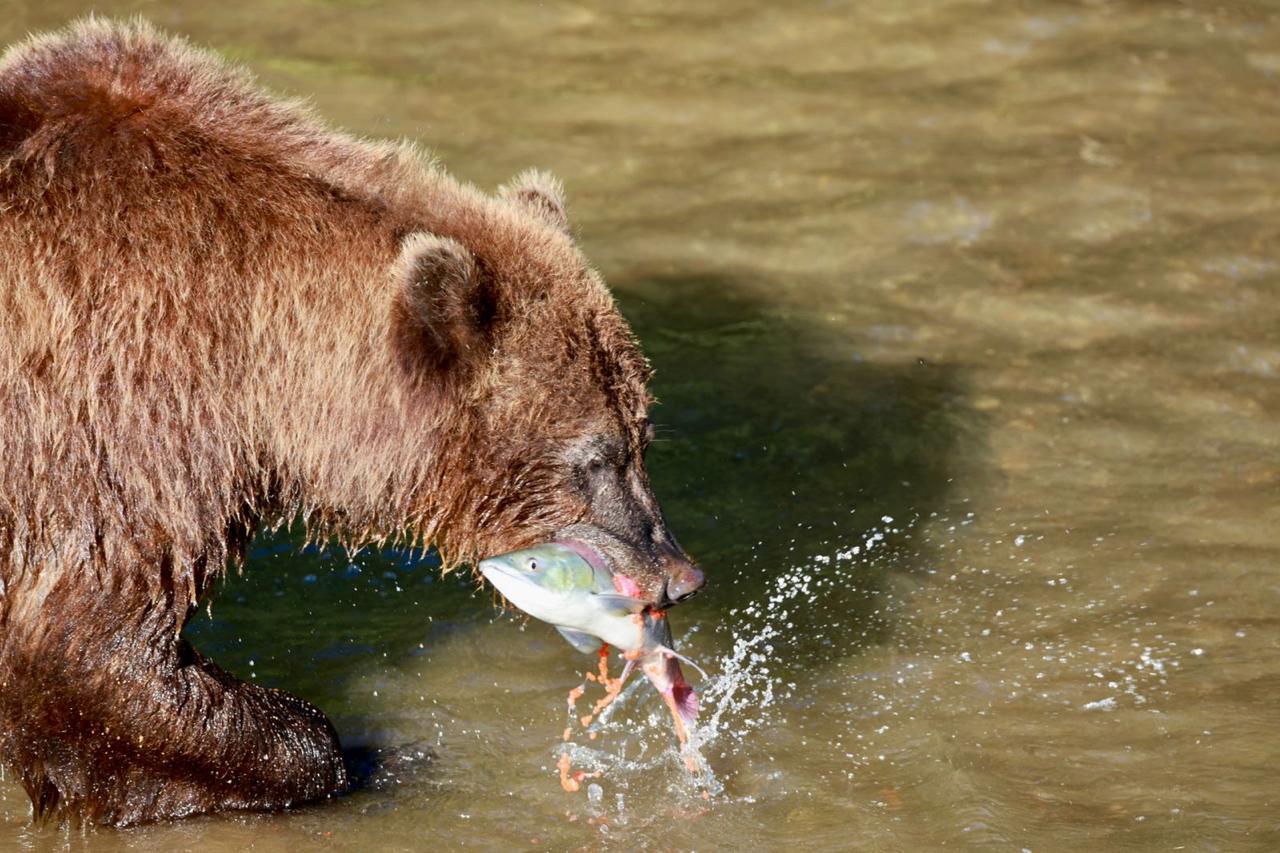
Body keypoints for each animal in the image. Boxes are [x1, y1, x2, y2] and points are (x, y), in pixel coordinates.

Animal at [0, 14, 701, 824]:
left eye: (642, 437)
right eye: (595, 457)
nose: (678, 573)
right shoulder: (113, 400)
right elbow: (86, 646)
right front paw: (343, 750)